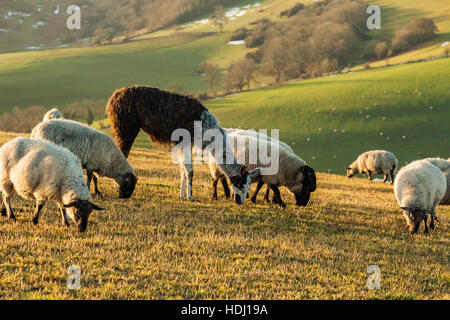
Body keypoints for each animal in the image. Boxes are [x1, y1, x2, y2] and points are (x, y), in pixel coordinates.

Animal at [106, 86, 260, 204]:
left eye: (248, 187)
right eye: (240, 184)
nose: (240, 201)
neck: (205, 126)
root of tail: (114, 97)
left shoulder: (184, 143)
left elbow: (182, 170)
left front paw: (182, 195)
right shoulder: (186, 140)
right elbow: (190, 171)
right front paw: (191, 196)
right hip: (126, 128)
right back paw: (118, 188)